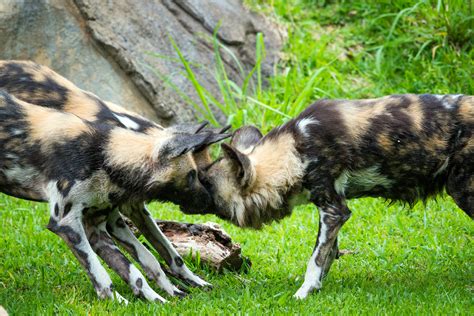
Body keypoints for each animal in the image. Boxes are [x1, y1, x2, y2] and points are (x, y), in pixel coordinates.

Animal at [187, 93, 472, 298]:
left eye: (206, 182)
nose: (182, 202)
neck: (295, 150)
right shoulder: (333, 211)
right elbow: (329, 253)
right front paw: (318, 287)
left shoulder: (333, 210)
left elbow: (315, 258)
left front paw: (303, 293)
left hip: (462, 191)